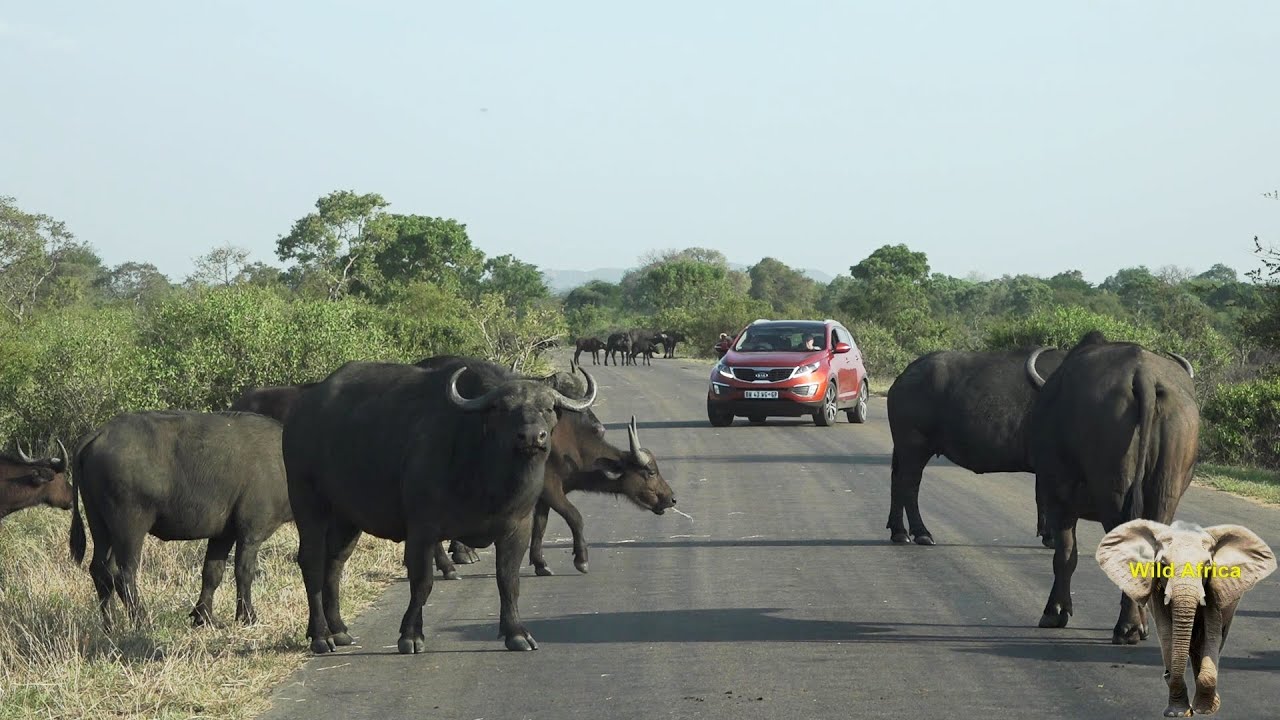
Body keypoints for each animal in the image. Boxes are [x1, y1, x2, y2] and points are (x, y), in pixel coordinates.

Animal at [70, 411, 292, 629]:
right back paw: (142, 621)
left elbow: (212, 573)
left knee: (101, 571)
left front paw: (204, 617)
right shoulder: (251, 533)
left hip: (101, 527)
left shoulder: (223, 535)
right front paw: (248, 617)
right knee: (124, 574)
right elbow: (244, 572)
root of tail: (100, 433)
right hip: (129, 528)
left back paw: (111, 625)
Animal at [282, 359, 597, 653]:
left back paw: (339, 630)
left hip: (347, 518)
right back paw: (321, 636)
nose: (532, 437)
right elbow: (422, 583)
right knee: (312, 561)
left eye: (548, 407)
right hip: (308, 503)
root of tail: (301, 410)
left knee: (334, 563)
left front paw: (516, 633)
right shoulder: (423, 530)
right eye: (503, 408)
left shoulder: (516, 528)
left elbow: (508, 580)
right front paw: (410, 635)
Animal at [885, 347, 1066, 547]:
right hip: (915, 448)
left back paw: (899, 532)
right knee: (909, 485)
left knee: (896, 481)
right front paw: (1052, 537)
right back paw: (921, 533)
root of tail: (905, 376)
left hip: (903, 450)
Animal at [1028, 331, 1200, 645]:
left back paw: (1127, 627)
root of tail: (1143, 375)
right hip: (1166, 493)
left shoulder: (1059, 498)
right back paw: (1141, 624)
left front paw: (1055, 611)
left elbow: (1065, 554)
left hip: (1113, 492)